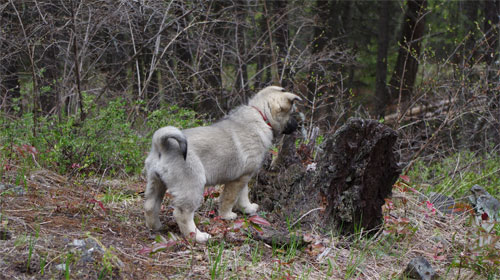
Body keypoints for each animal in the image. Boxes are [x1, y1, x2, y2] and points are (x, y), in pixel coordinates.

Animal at [144, 86, 300, 242]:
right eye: (292, 113)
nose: (299, 125)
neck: (261, 115)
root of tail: (163, 146)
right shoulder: (238, 179)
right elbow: (229, 199)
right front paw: (227, 215)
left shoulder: (244, 176)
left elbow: (243, 195)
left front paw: (247, 208)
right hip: (192, 186)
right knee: (182, 214)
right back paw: (198, 236)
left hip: (156, 182)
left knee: (150, 206)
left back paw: (156, 226)